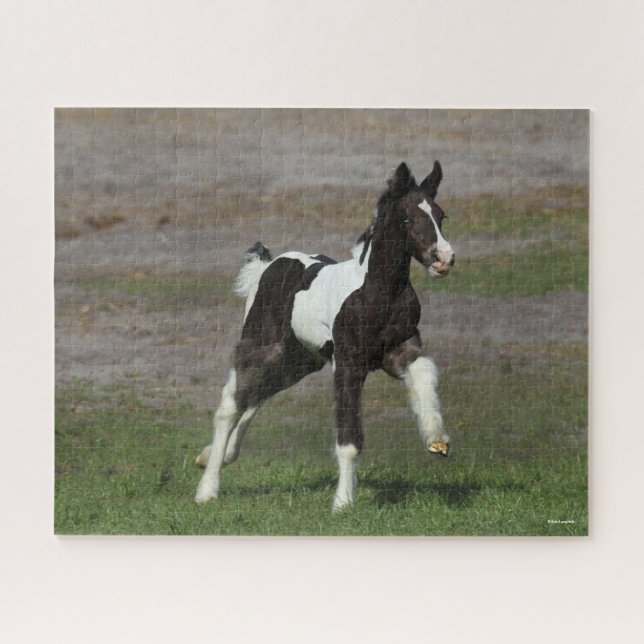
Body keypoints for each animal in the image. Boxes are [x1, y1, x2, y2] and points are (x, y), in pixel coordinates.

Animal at [195, 161, 455, 511]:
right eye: (406, 219)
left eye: (440, 216)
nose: (444, 259)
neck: (376, 292)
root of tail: (268, 266)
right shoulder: (348, 364)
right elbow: (349, 439)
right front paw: (343, 502)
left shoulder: (401, 350)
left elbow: (425, 373)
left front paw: (436, 438)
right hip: (261, 347)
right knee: (231, 405)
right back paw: (207, 489)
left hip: (299, 361)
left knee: (257, 396)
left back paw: (216, 456)